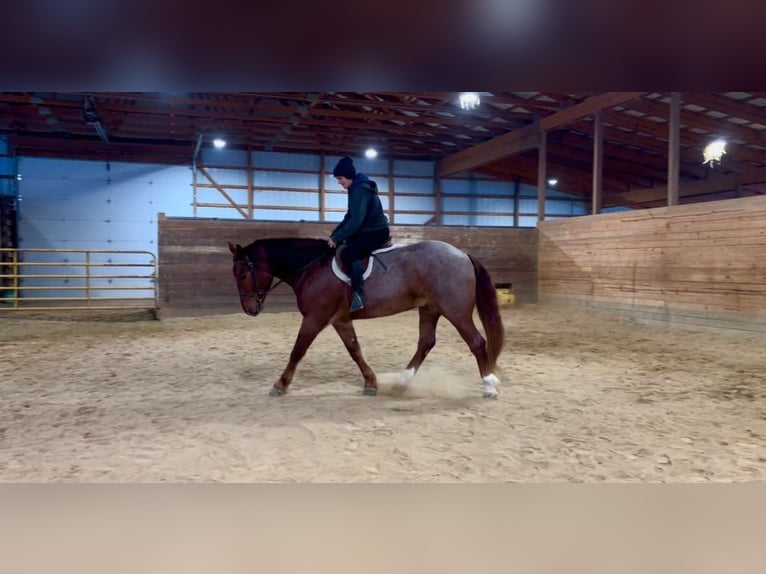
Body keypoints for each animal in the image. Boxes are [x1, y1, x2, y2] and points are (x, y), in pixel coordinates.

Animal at [225, 238, 508, 400]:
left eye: (242, 274)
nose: (250, 309)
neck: (312, 268)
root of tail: (462, 254)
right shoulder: (339, 320)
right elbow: (355, 350)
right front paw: (371, 383)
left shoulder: (315, 318)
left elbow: (297, 351)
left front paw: (280, 385)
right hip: (430, 309)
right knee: (426, 343)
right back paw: (401, 384)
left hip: (455, 311)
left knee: (477, 343)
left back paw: (489, 386)